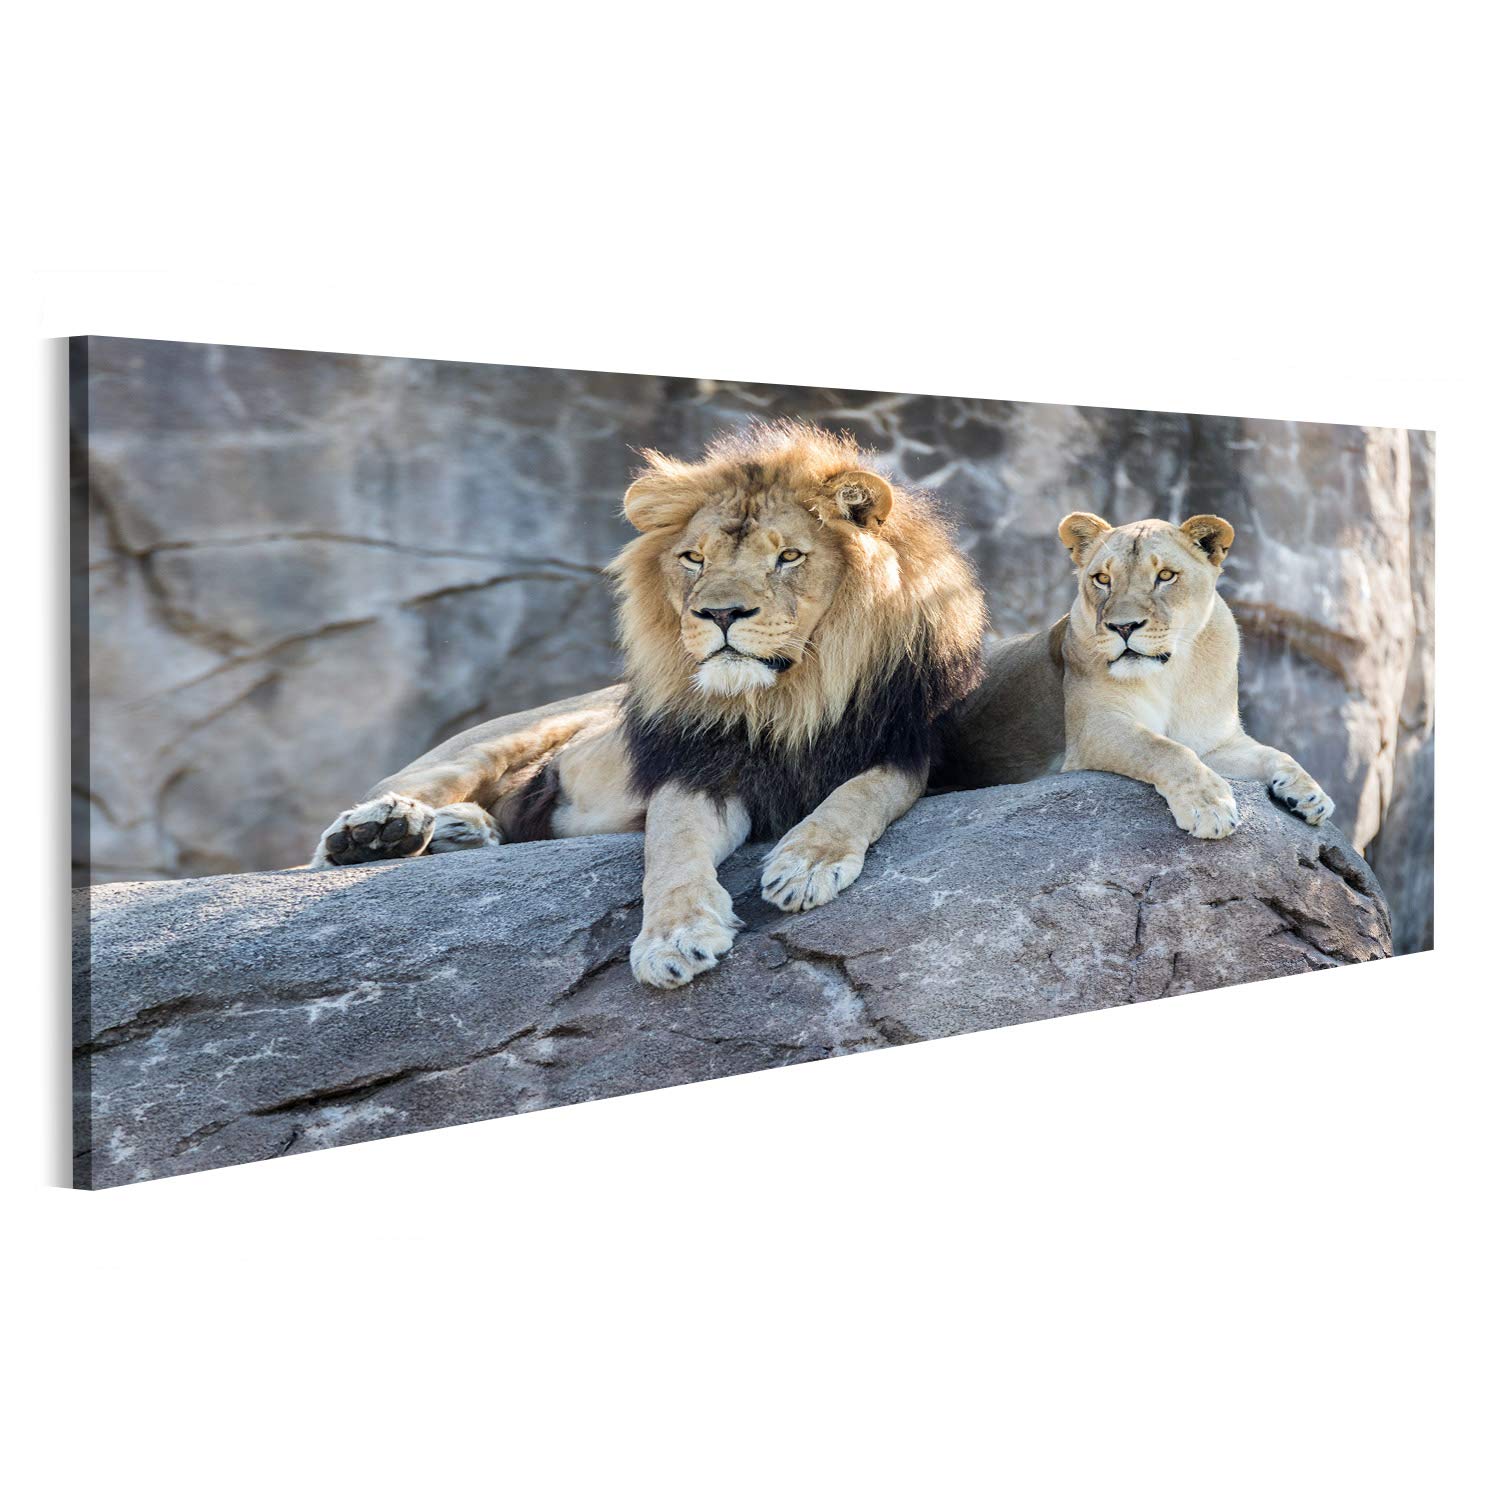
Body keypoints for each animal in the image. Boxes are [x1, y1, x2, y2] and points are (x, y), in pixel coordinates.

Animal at [311, 421, 987, 989]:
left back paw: (458, 831)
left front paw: (805, 864)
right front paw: (673, 937)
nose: (719, 613)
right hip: (489, 744)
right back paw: (380, 832)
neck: (784, 699)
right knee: (353, 831)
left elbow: (860, 794)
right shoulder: (695, 768)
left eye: (789, 556)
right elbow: (672, 847)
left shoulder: (909, 747)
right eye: (695, 558)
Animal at [937, 510, 1335, 837]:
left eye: (1165, 576)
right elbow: (1164, 749)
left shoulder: (1214, 742)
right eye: (1102, 579)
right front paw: (1209, 807)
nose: (1123, 627)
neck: (1173, 674)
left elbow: (1276, 754)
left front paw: (1310, 795)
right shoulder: (1095, 728)